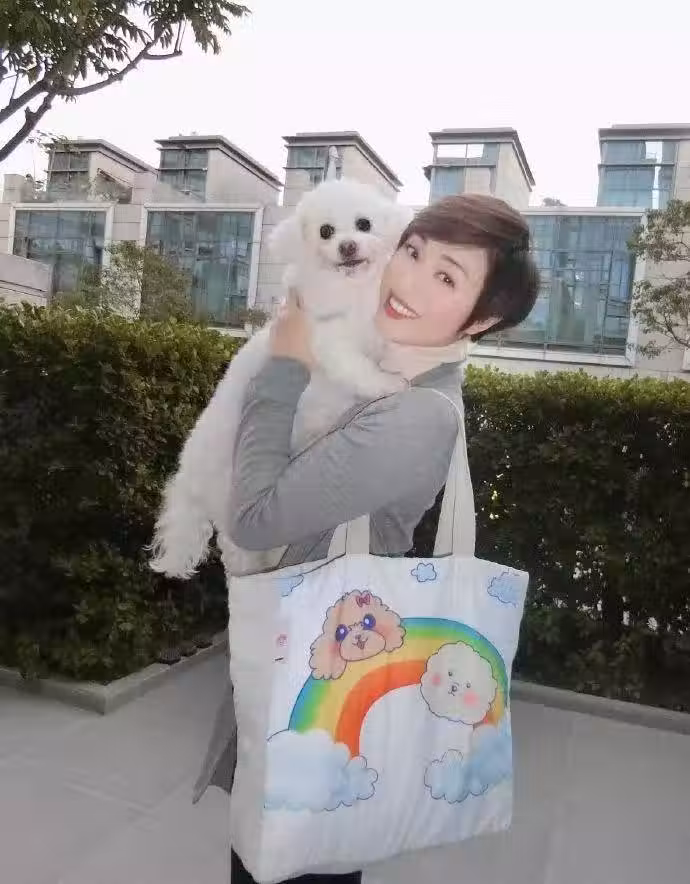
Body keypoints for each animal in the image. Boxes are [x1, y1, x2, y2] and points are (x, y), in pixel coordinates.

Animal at [148, 179, 412, 580]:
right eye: (326, 231)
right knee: (235, 549)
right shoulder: (330, 342)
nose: (347, 246)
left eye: (364, 224)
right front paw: (388, 384)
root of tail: (188, 478)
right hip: (233, 500)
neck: (350, 291)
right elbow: (360, 368)